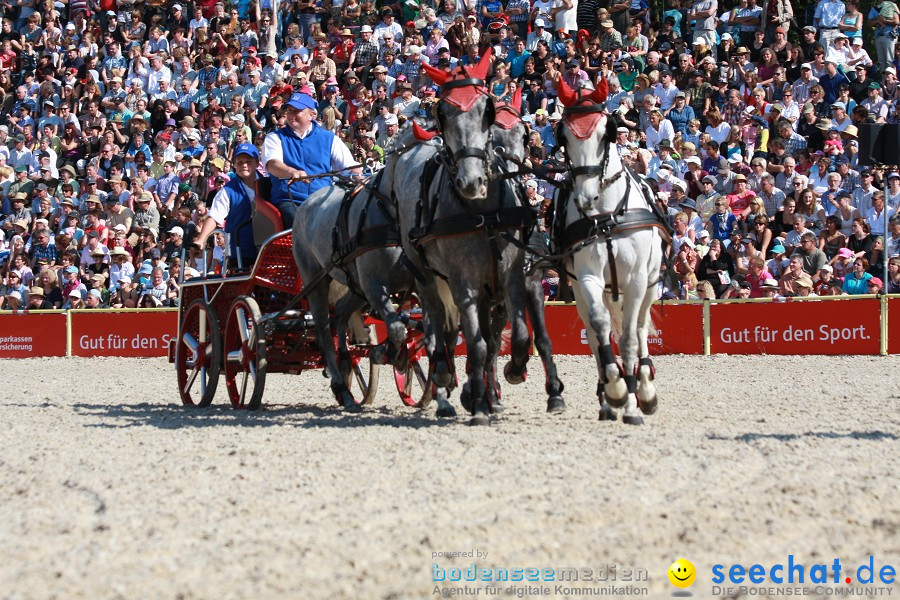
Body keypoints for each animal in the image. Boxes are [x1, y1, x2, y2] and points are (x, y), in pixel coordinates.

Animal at [552, 79, 672, 424]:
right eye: (564, 136)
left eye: (606, 132)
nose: (586, 197)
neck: (606, 216)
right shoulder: (587, 277)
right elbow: (599, 326)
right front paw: (615, 387)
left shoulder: (636, 280)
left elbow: (631, 338)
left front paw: (632, 402)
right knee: (596, 333)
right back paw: (607, 398)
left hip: (649, 283)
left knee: (641, 328)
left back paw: (644, 388)